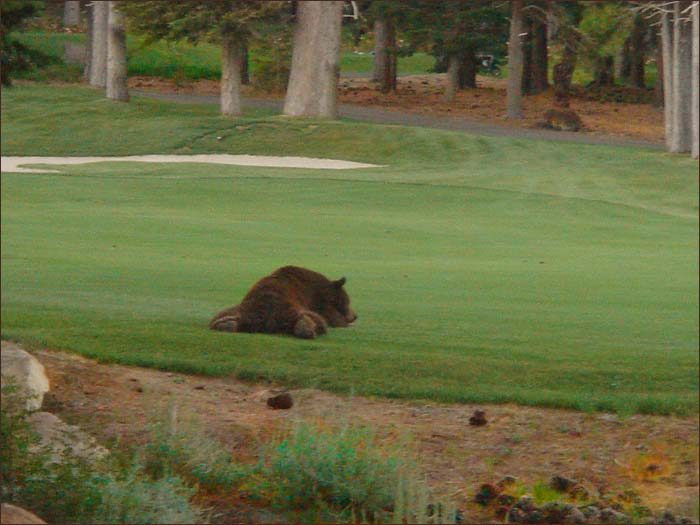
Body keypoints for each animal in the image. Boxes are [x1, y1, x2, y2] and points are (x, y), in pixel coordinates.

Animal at [209, 264, 358, 338]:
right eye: (348, 301)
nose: (356, 315)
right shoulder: (321, 305)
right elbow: (335, 320)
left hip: (241, 309)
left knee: (220, 317)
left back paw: (226, 324)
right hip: (290, 309)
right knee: (316, 320)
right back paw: (307, 328)